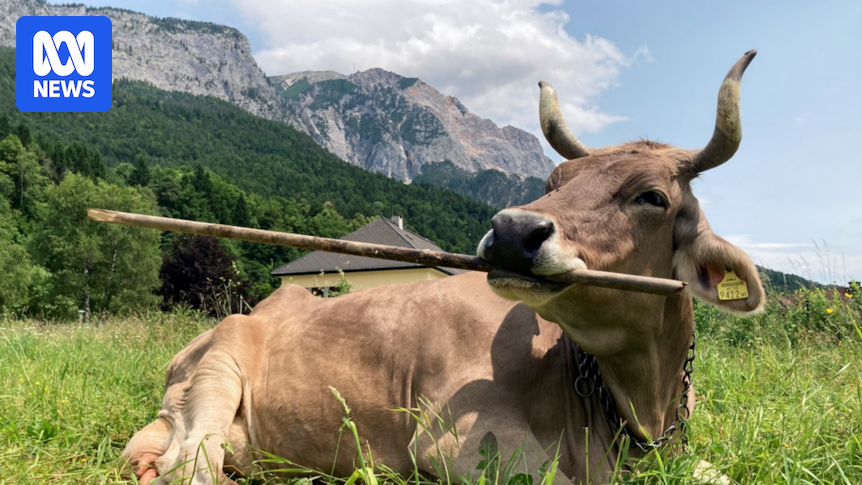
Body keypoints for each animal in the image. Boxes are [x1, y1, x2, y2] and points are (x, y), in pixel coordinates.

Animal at [122, 51, 764, 485]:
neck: (640, 409)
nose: (512, 231)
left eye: (652, 197)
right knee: (188, 466)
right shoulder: (458, 442)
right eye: (554, 181)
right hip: (218, 370)